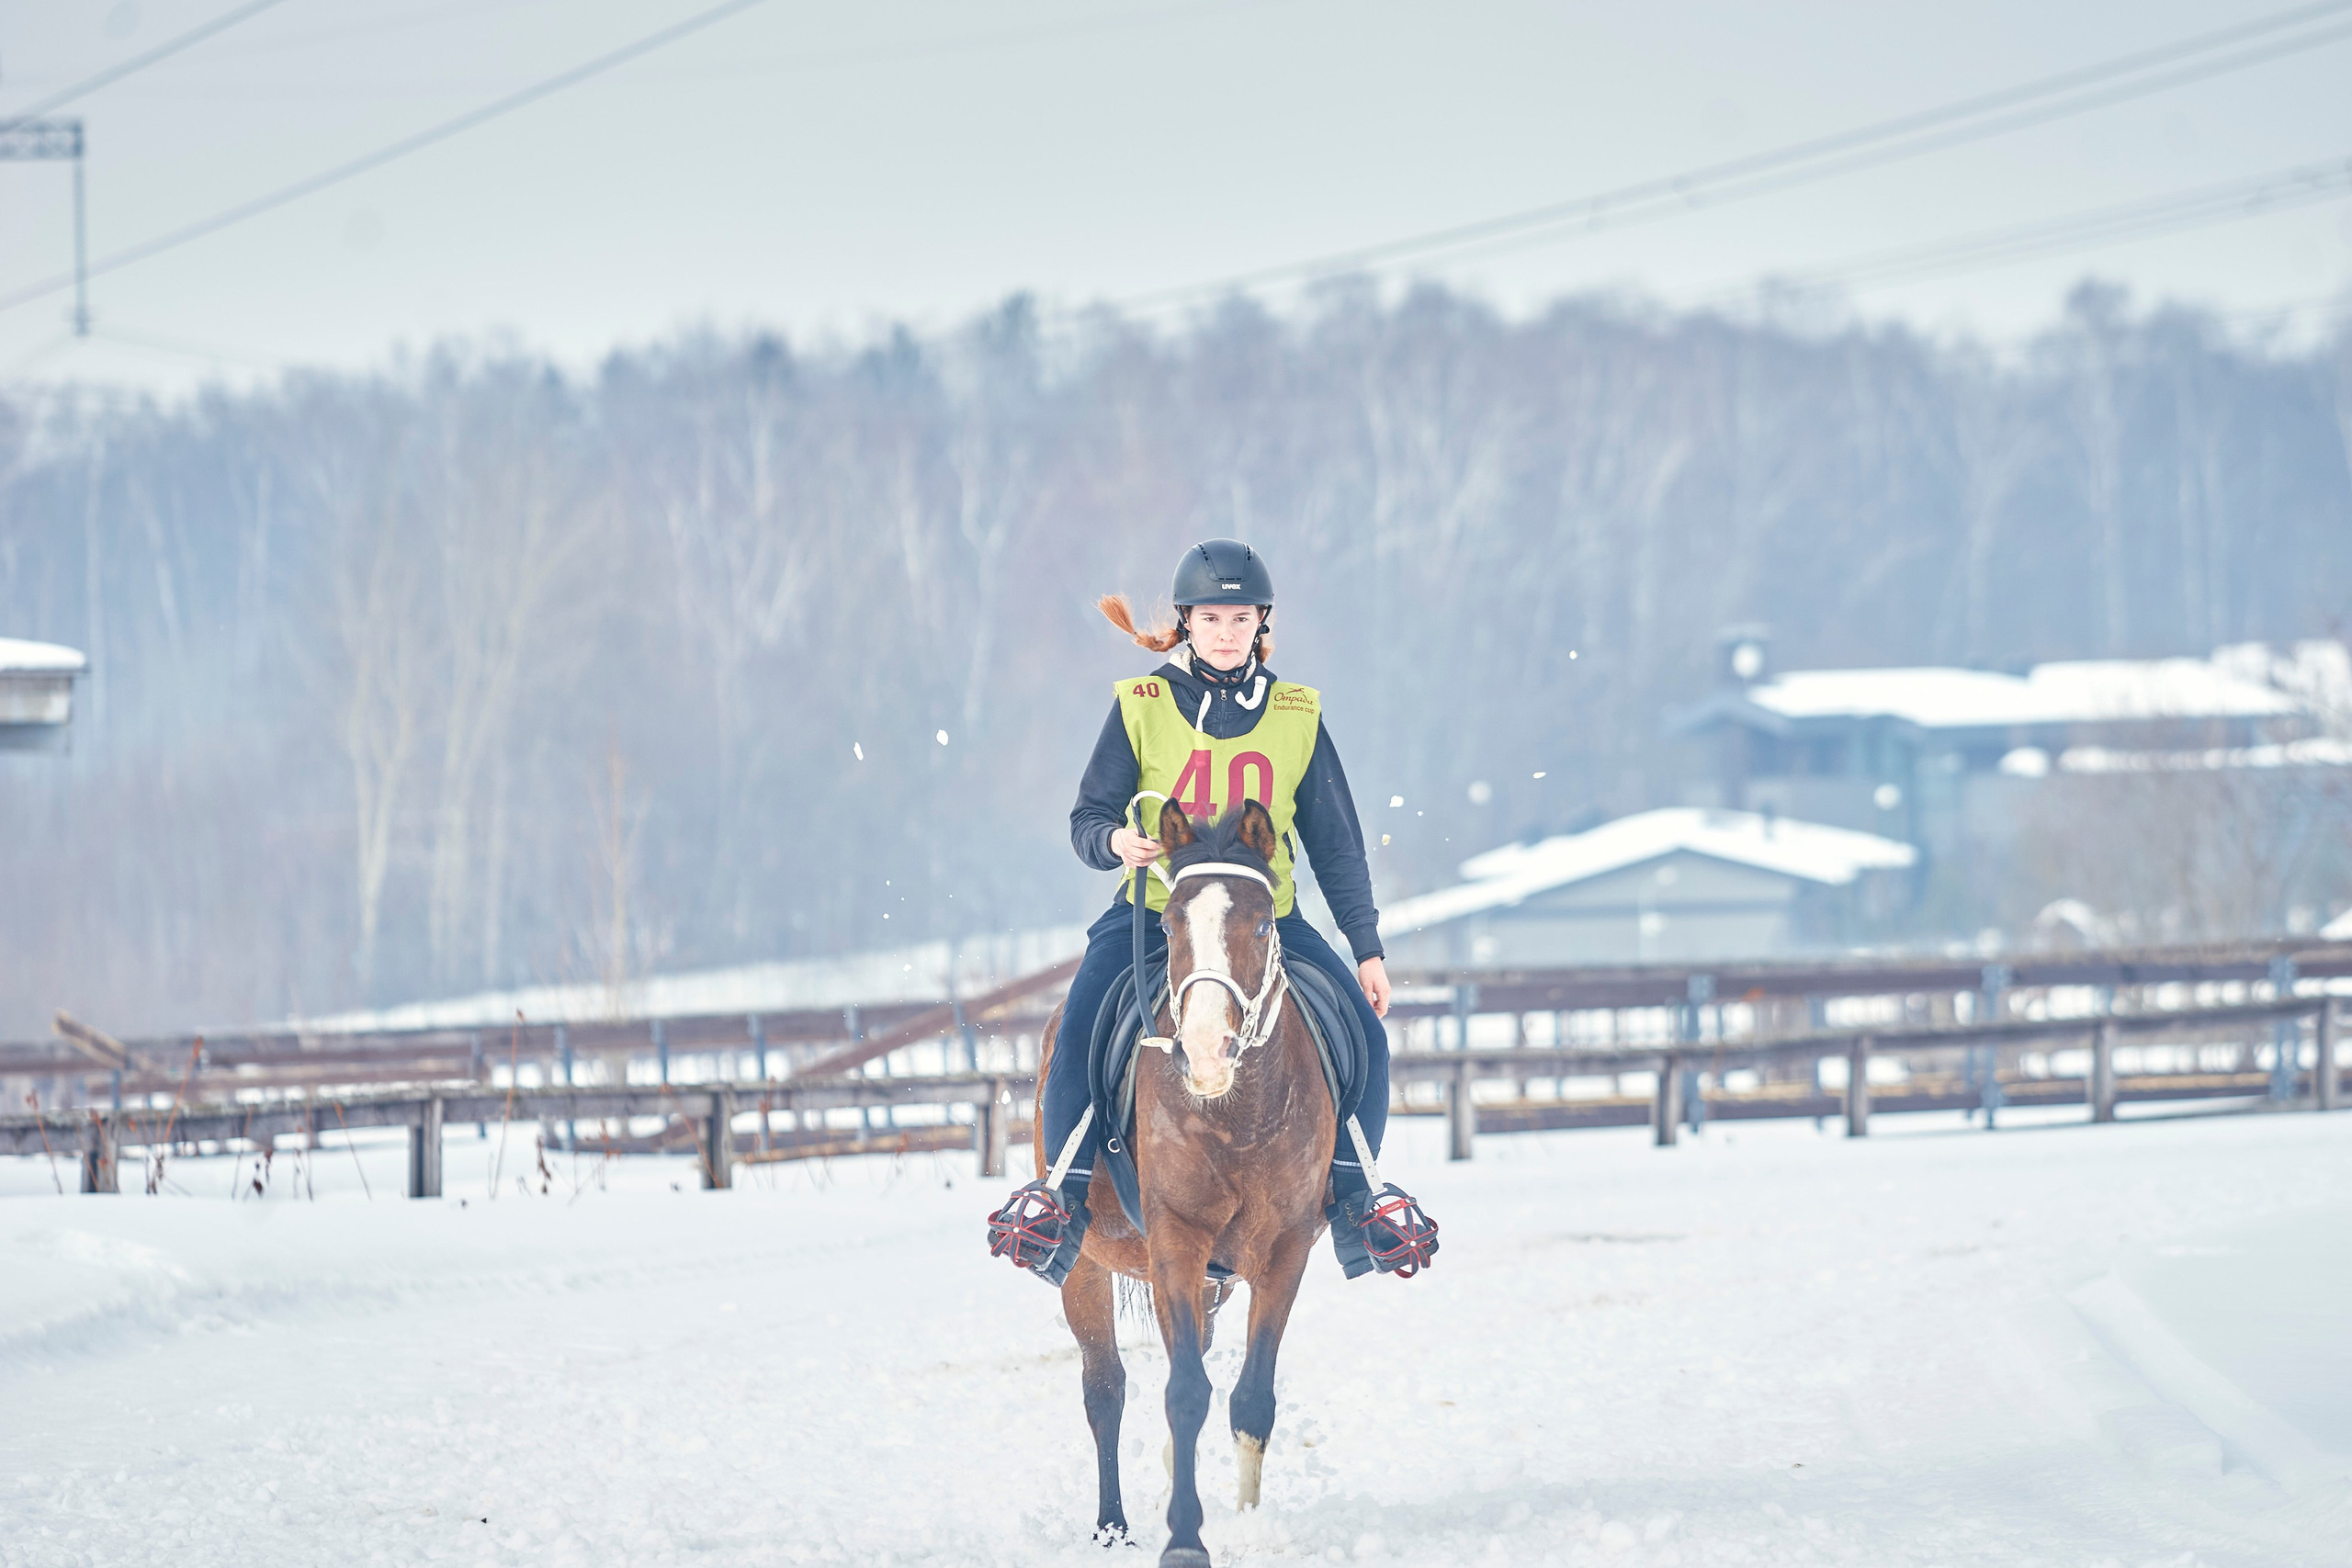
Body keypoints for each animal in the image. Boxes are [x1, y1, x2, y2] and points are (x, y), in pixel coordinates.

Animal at [1031, 797, 1337, 1568]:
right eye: (1168, 925)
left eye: (1262, 923)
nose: (1204, 1053)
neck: (1237, 1112)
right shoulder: (1175, 1240)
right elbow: (1183, 1393)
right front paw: (1185, 1539)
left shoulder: (1285, 1250)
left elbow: (1250, 1397)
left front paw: (1246, 1526)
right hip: (1087, 1266)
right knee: (1105, 1388)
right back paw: (1112, 1526)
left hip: (1212, 1283)